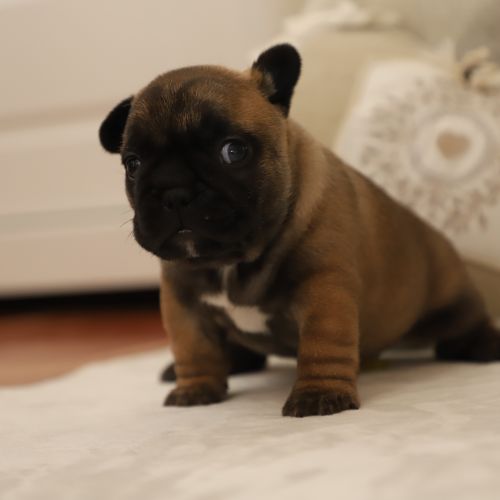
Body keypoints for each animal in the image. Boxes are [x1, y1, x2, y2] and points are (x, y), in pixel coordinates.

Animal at [99, 44, 500, 417]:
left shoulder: (324, 290)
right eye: (132, 165)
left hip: (449, 297)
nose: (174, 191)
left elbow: (323, 345)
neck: (232, 262)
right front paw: (195, 389)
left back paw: (483, 346)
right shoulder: (182, 301)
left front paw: (319, 394)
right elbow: (193, 347)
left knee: (465, 322)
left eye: (233, 151)